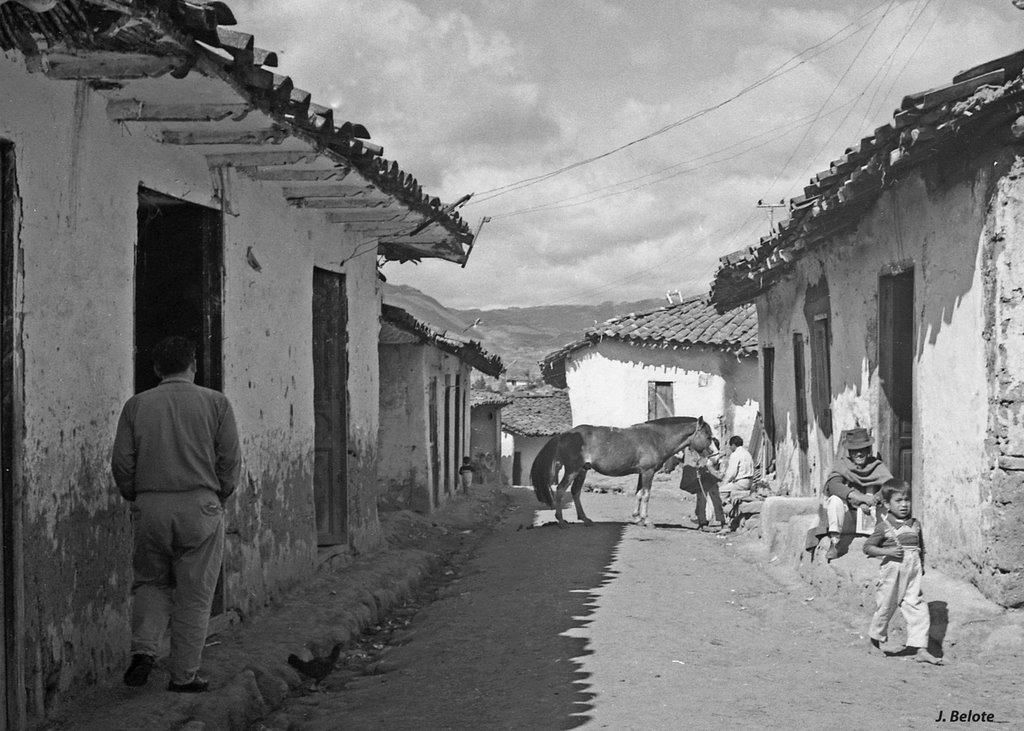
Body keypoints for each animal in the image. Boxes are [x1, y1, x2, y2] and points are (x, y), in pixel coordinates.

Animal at [528, 413, 712, 528]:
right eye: (708, 436)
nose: (713, 456)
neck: (656, 438)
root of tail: (563, 435)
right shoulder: (648, 472)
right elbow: (646, 495)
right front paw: (646, 520)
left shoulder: (641, 473)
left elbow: (638, 494)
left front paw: (637, 518)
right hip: (572, 470)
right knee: (560, 490)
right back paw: (561, 521)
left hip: (582, 470)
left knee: (575, 492)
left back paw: (585, 519)